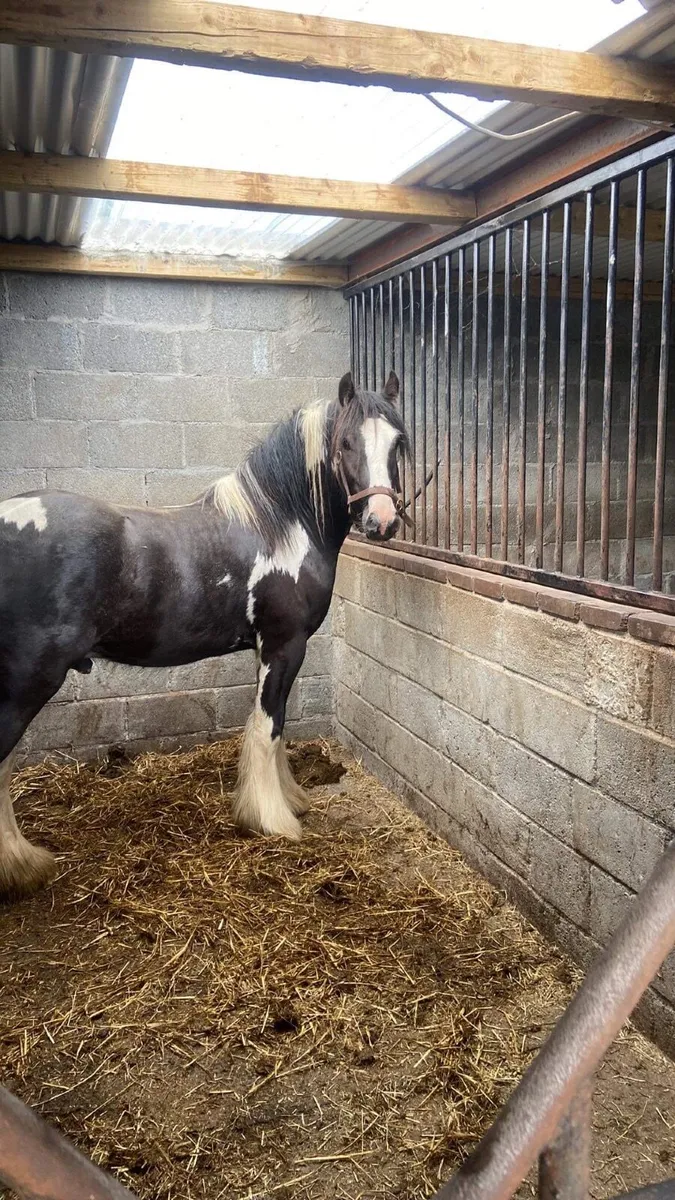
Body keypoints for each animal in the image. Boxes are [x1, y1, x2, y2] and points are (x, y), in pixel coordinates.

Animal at [0, 370, 409, 900]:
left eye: (397, 442)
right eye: (345, 443)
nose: (382, 521)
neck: (282, 527)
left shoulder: (269, 651)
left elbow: (273, 727)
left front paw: (289, 799)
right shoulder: (285, 647)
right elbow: (268, 727)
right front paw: (272, 819)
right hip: (30, 679)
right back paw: (23, 864)